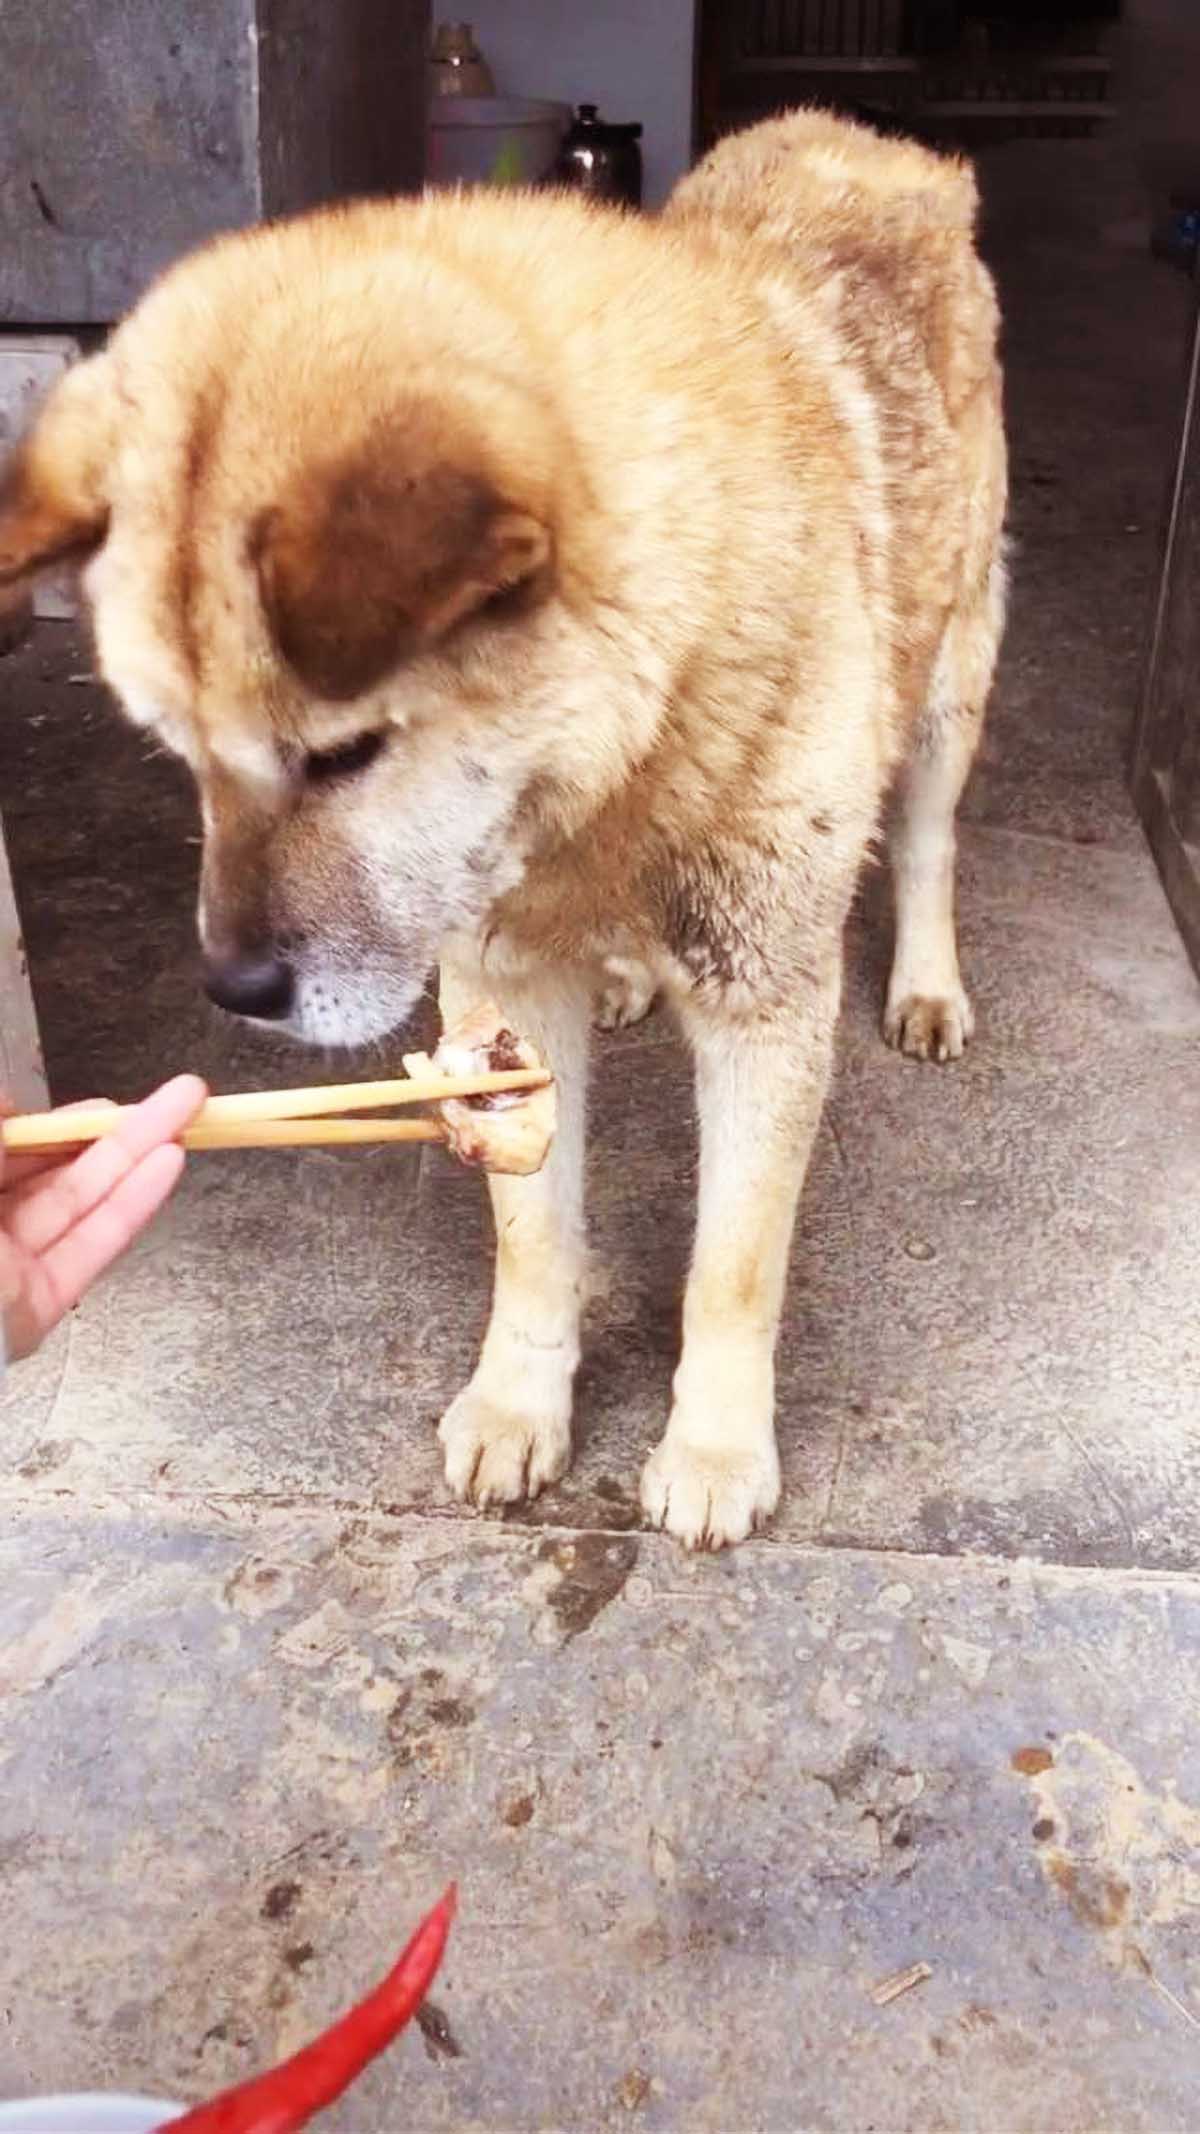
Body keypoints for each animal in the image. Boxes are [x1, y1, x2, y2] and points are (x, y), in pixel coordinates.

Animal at [0, 108, 999, 1545]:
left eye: (340, 754)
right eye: (179, 750)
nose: (233, 990)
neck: (619, 758)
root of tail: (858, 140)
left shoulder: (765, 1004)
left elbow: (732, 1266)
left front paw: (713, 1446)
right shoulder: (501, 995)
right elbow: (532, 1236)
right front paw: (522, 1405)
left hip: (949, 679)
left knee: (925, 839)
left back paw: (925, 979)